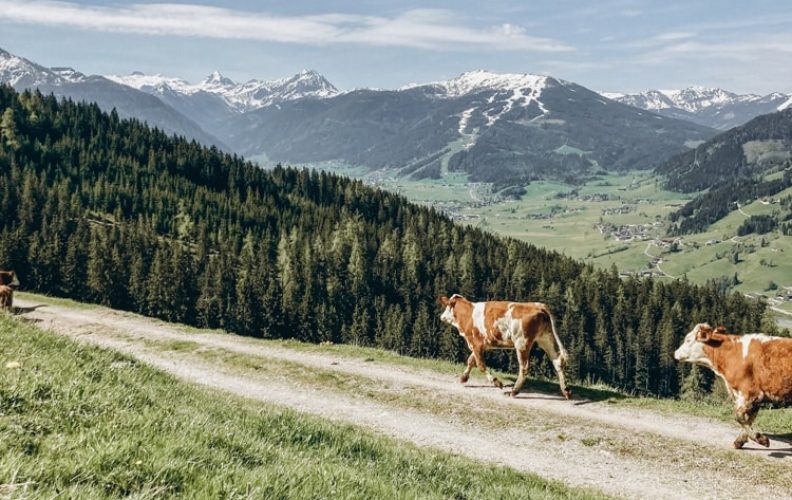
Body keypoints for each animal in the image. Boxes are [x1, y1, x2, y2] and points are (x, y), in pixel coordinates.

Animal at [440, 292, 568, 398]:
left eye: (447, 306)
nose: (442, 316)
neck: (467, 315)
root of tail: (538, 305)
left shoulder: (476, 343)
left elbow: (480, 365)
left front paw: (496, 382)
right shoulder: (483, 345)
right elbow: (471, 360)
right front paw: (464, 378)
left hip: (521, 342)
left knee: (524, 367)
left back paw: (514, 391)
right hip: (545, 338)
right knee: (557, 361)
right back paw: (566, 391)